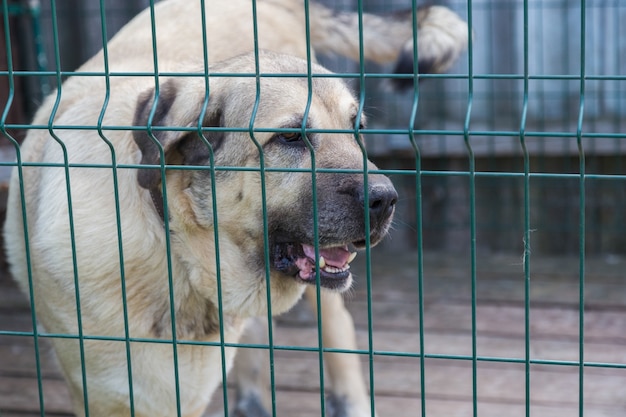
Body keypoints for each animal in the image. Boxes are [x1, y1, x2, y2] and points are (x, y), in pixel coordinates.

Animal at [3, 0, 464, 416]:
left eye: (357, 129)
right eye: (291, 137)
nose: (387, 198)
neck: (178, 254)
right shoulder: (100, 393)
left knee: (337, 325)